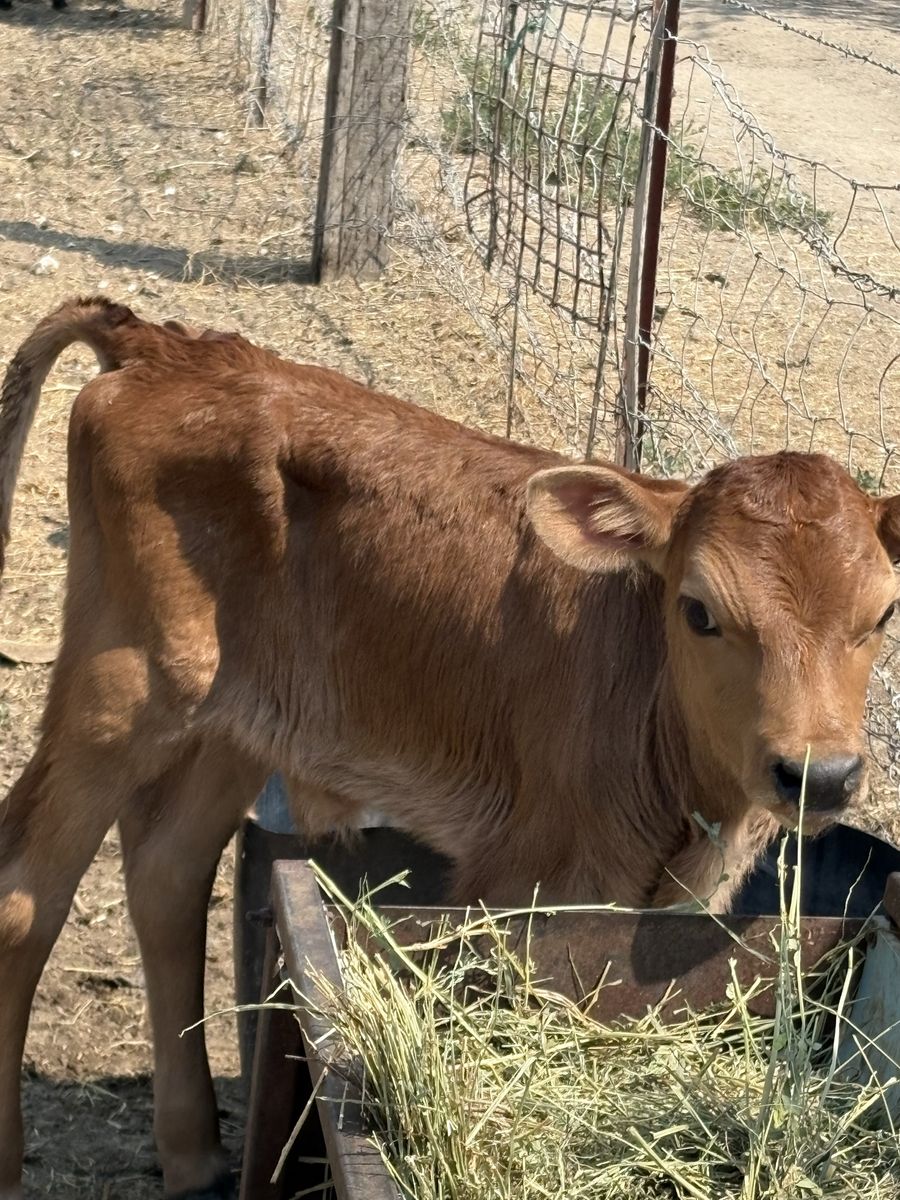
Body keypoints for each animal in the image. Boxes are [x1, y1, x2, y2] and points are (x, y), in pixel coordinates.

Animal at [0, 296, 898, 1199]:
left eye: (885, 613)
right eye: (700, 610)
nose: (819, 774)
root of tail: (160, 345)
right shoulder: (523, 876)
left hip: (238, 716)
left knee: (167, 871)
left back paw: (193, 1155)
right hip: (120, 686)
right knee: (26, 894)